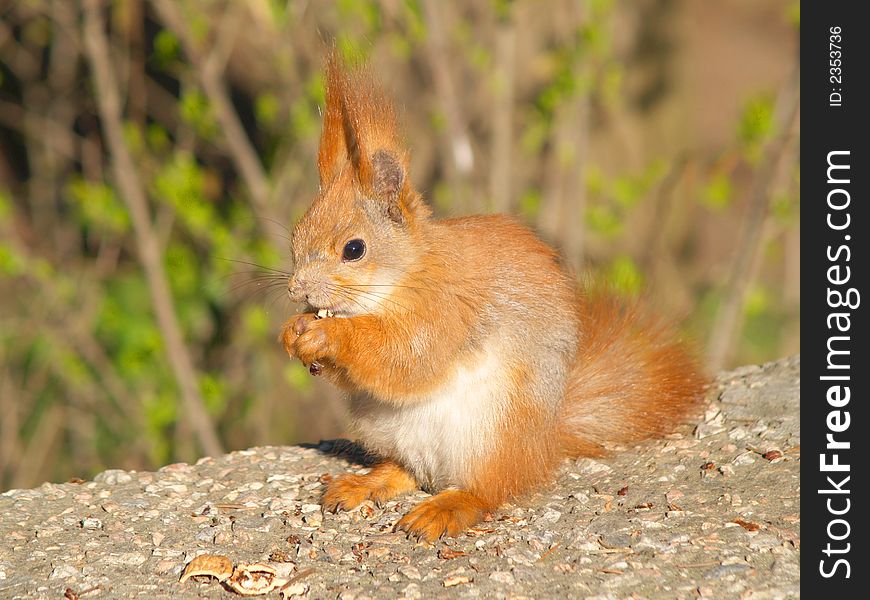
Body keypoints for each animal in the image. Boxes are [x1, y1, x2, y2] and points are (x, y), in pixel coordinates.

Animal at [282, 55, 708, 544]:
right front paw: (294, 332)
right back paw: (364, 484)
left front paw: (330, 334)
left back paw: (446, 507)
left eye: (354, 249)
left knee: (488, 489)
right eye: (295, 235)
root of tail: (543, 444)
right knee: (408, 471)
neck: (404, 278)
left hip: (493, 435)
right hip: (388, 429)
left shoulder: (450, 310)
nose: (297, 290)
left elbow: (406, 358)